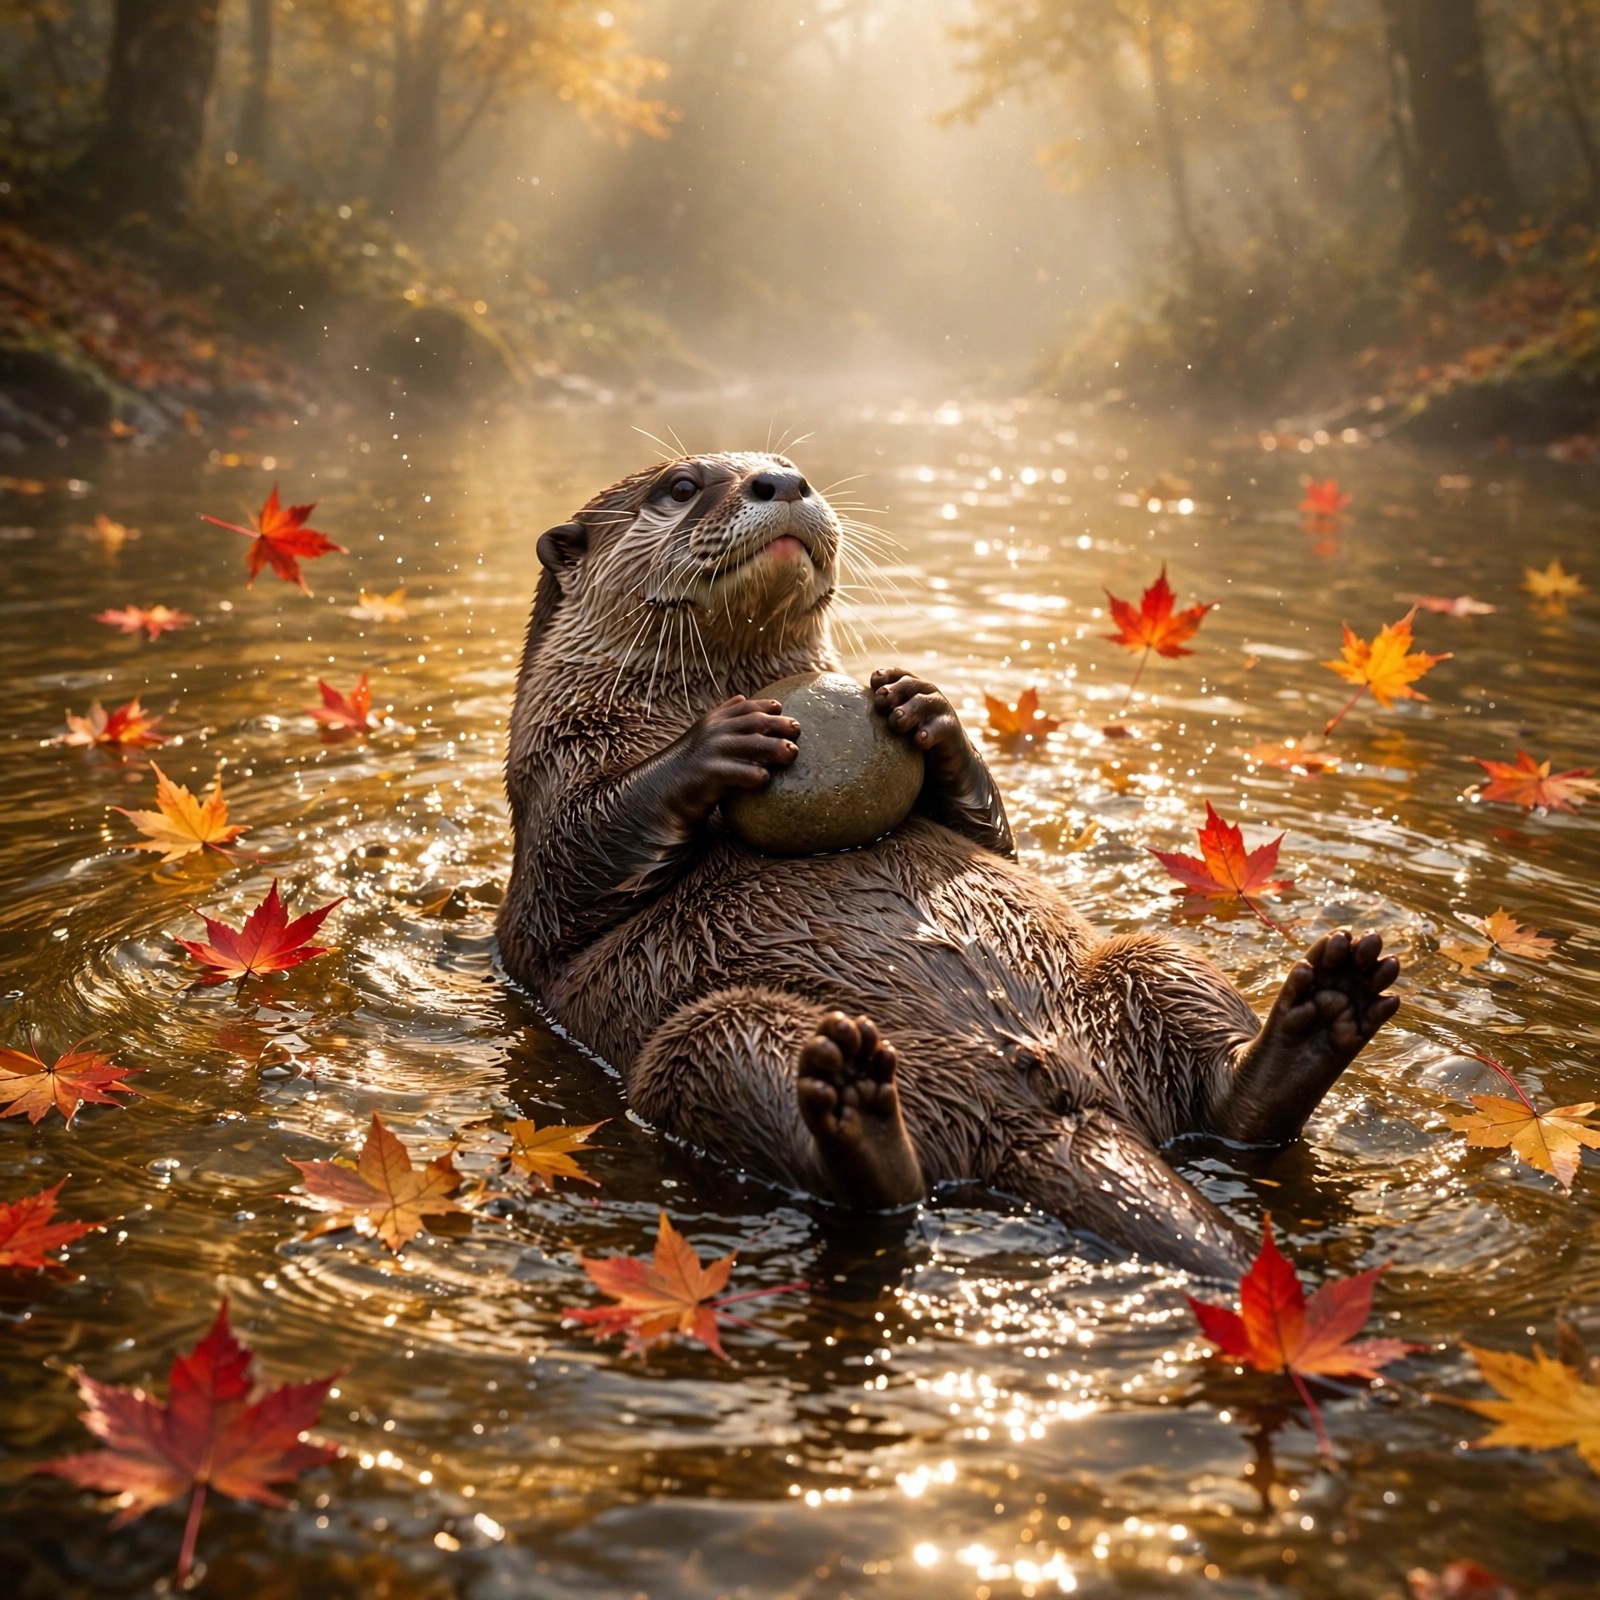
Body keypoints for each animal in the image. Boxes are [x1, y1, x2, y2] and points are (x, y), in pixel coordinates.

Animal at [498, 451, 1400, 1277]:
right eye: (681, 487)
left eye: (788, 463)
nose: (780, 483)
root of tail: (1051, 1102)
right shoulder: (553, 787)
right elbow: (572, 870)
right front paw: (720, 740)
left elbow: (994, 838)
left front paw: (928, 709)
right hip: (710, 1038)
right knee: (862, 1179)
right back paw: (857, 1111)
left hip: (1146, 962)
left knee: (1219, 1090)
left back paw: (1323, 1008)